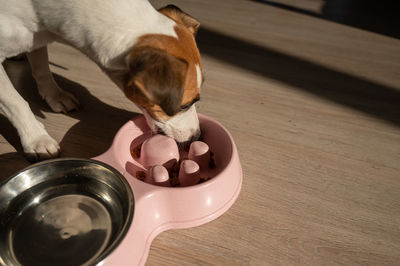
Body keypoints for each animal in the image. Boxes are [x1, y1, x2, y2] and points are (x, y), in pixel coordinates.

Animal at [0, 0, 202, 160]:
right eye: (184, 105)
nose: (197, 136)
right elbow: (16, 102)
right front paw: (36, 138)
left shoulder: (38, 38)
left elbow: (42, 68)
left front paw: (55, 95)